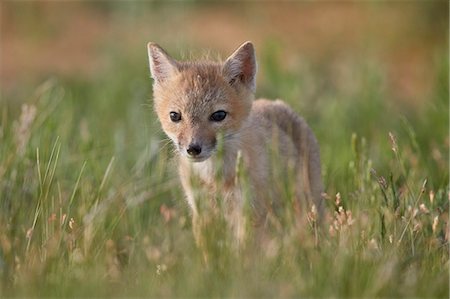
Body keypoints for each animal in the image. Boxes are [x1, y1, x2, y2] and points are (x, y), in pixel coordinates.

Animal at [148, 41, 324, 245]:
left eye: (218, 115)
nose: (193, 149)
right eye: (175, 116)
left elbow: (242, 251)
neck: (214, 178)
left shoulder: (248, 212)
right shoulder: (201, 211)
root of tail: (278, 104)